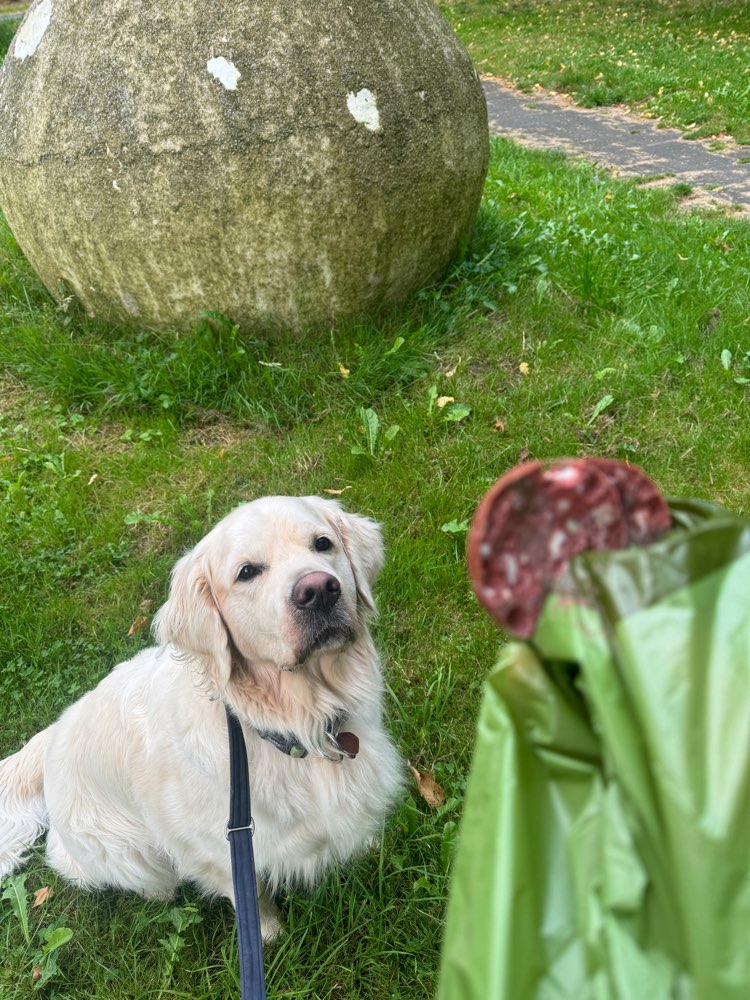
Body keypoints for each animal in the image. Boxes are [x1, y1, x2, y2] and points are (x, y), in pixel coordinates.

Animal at [0, 496, 406, 940]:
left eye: (322, 543)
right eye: (247, 572)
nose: (318, 590)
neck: (291, 725)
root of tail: (52, 733)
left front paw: (369, 849)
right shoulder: (217, 848)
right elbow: (251, 895)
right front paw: (270, 936)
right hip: (119, 846)